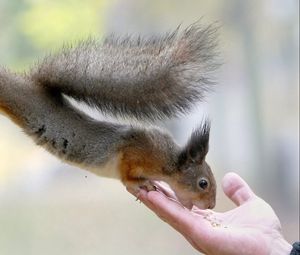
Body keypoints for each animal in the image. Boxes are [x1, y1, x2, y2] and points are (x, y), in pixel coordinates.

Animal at [1, 21, 219, 209]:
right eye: (203, 183)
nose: (211, 205)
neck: (168, 161)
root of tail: (30, 85)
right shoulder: (134, 153)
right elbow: (127, 175)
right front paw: (140, 183)